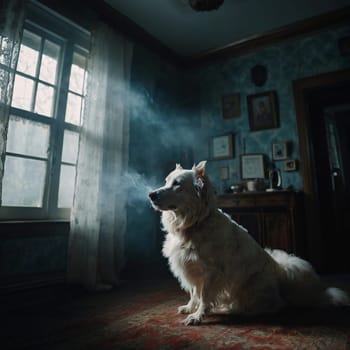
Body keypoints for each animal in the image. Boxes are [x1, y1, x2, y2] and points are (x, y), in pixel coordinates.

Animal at [149, 161, 348, 326]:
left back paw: (238, 310)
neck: (194, 224)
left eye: (177, 184)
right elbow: (194, 292)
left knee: (275, 305)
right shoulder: (189, 267)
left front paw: (197, 316)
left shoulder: (211, 272)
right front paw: (190, 308)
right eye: (166, 181)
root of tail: (280, 272)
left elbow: (204, 296)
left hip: (253, 283)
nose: (150, 194)